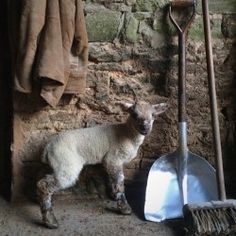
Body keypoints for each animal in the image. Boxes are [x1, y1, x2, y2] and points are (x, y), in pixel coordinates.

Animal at [36, 101, 168, 229]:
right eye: (134, 115)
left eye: (153, 115)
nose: (145, 128)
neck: (127, 133)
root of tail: (48, 148)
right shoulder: (113, 158)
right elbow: (120, 181)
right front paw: (124, 208)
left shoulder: (110, 162)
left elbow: (112, 179)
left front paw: (114, 195)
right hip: (66, 163)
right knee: (44, 185)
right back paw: (50, 221)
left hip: (58, 164)